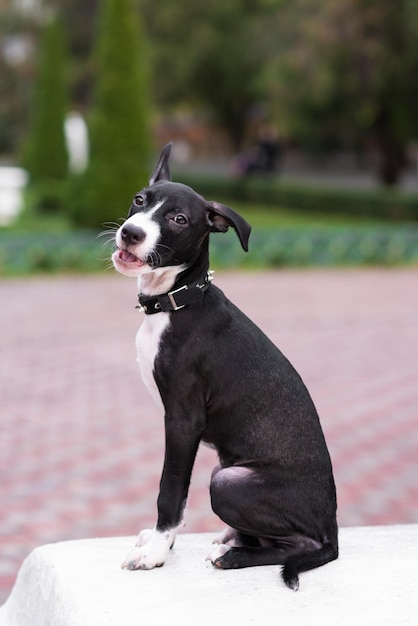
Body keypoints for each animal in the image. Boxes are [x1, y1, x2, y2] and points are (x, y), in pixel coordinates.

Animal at [112, 144, 338, 588]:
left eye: (179, 220)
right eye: (140, 200)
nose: (131, 233)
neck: (178, 300)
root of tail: (333, 526)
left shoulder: (183, 419)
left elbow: (171, 490)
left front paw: (157, 552)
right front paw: (161, 543)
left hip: (228, 480)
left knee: (303, 545)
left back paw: (233, 556)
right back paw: (233, 541)